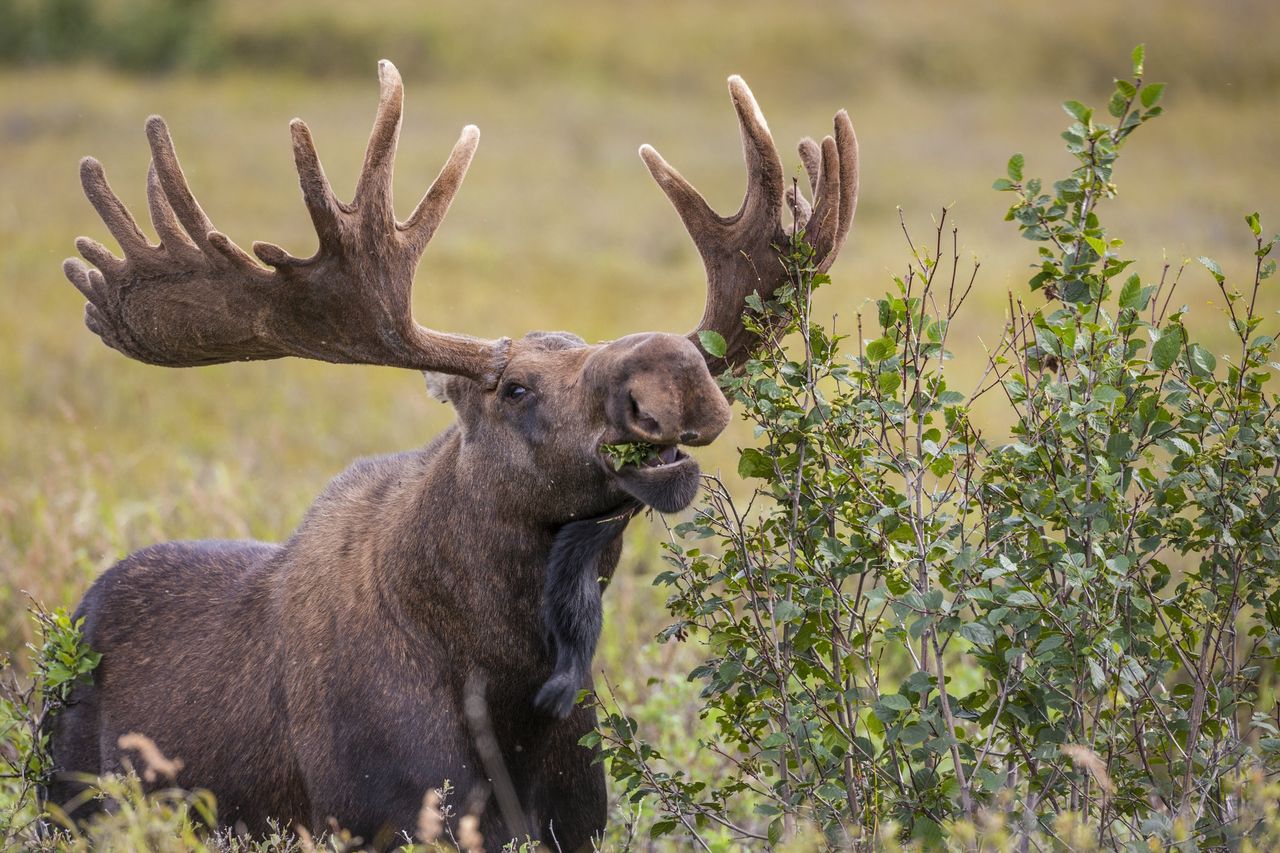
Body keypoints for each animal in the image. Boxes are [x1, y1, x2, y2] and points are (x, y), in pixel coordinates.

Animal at [45, 63, 860, 845]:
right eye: (517, 387)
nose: (676, 369)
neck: (511, 687)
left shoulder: (578, 824)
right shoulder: (385, 818)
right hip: (68, 799)